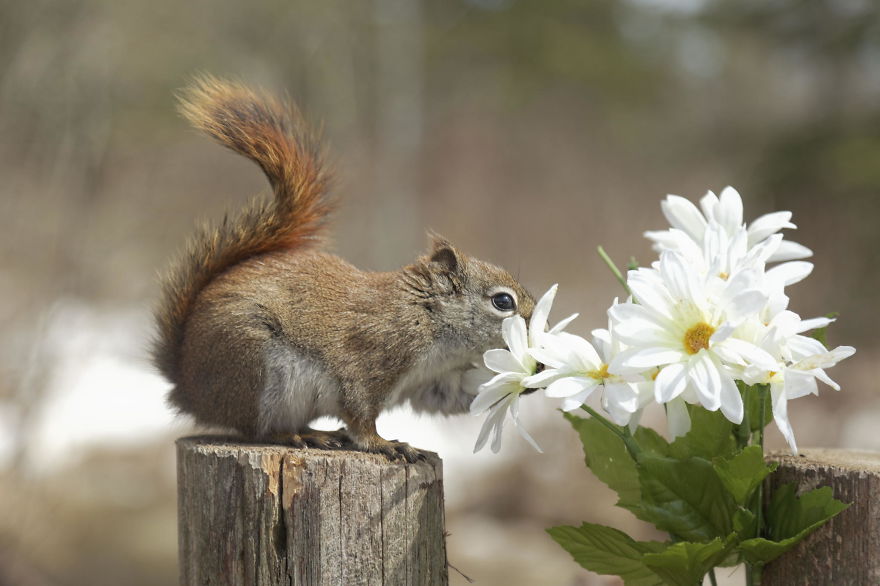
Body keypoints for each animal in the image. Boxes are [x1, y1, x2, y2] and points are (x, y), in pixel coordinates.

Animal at [153, 76, 535, 462]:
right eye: (503, 302)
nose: (535, 325)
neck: (427, 318)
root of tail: (187, 389)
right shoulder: (371, 358)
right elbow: (361, 411)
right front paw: (384, 443)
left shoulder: (437, 380)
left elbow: (454, 397)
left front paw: (531, 380)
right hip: (253, 366)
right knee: (255, 429)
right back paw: (298, 436)